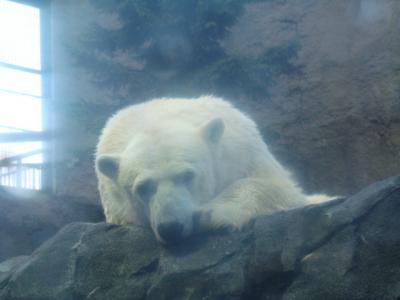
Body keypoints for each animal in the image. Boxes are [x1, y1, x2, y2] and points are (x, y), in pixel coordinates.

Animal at [96, 96, 328, 244]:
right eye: (142, 187)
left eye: (188, 175)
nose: (171, 228)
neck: (153, 120)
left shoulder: (243, 150)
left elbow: (280, 188)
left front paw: (212, 214)